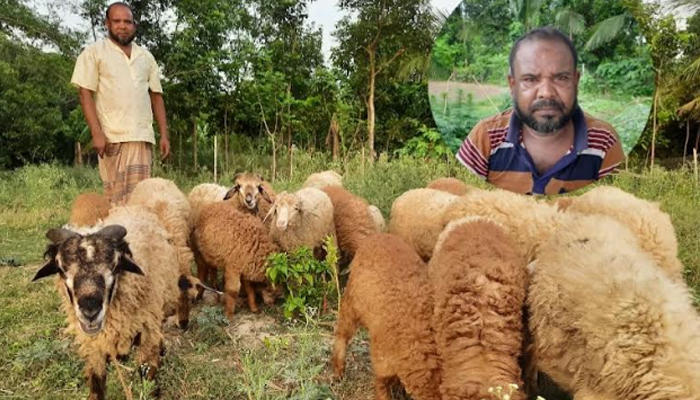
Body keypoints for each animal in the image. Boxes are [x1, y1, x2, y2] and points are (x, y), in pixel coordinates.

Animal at [31, 206, 193, 400]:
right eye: (61, 269)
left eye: (116, 266)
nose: (90, 312)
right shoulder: (94, 346)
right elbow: (96, 383)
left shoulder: (147, 332)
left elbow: (148, 375)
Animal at [332, 234, 440, 400]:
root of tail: (375, 237)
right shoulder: (382, 362)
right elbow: (381, 386)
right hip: (351, 301)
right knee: (342, 332)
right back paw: (337, 371)